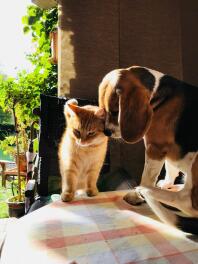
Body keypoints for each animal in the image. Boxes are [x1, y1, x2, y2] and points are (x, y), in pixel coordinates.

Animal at [99, 66, 198, 235]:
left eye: (115, 112)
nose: (106, 132)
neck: (158, 93)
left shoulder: (155, 147)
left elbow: (147, 176)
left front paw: (137, 194)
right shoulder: (166, 150)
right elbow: (170, 168)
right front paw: (167, 183)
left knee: (186, 201)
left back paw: (149, 191)